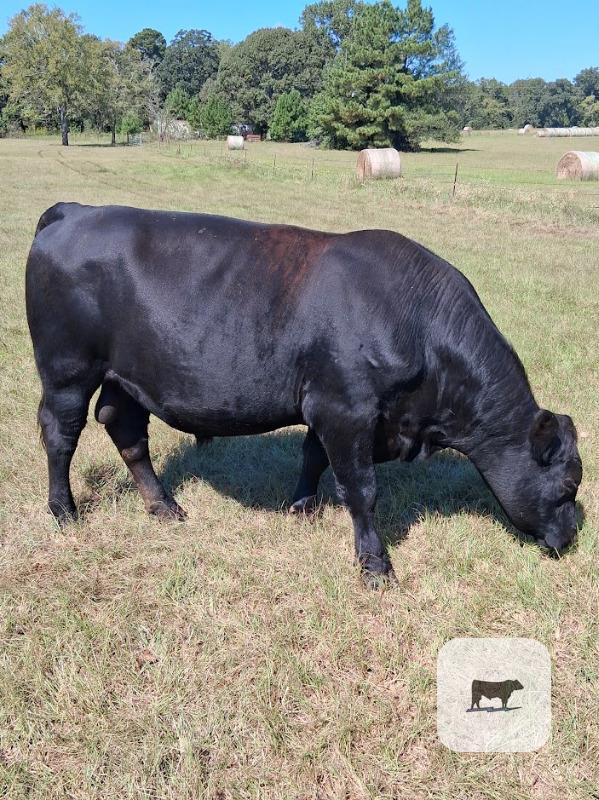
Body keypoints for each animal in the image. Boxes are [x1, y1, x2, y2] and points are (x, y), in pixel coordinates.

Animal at [25, 203, 583, 585]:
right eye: (568, 485)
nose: (572, 537)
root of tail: (74, 211)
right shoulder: (346, 409)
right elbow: (360, 489)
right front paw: (376, 565)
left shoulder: (330, 407)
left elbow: (312, 456)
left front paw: (301, 507)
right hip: (67, 368)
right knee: (61, 433)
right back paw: (64, 511)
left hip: (125, 376)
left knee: (124, 429)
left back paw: (164, 507)